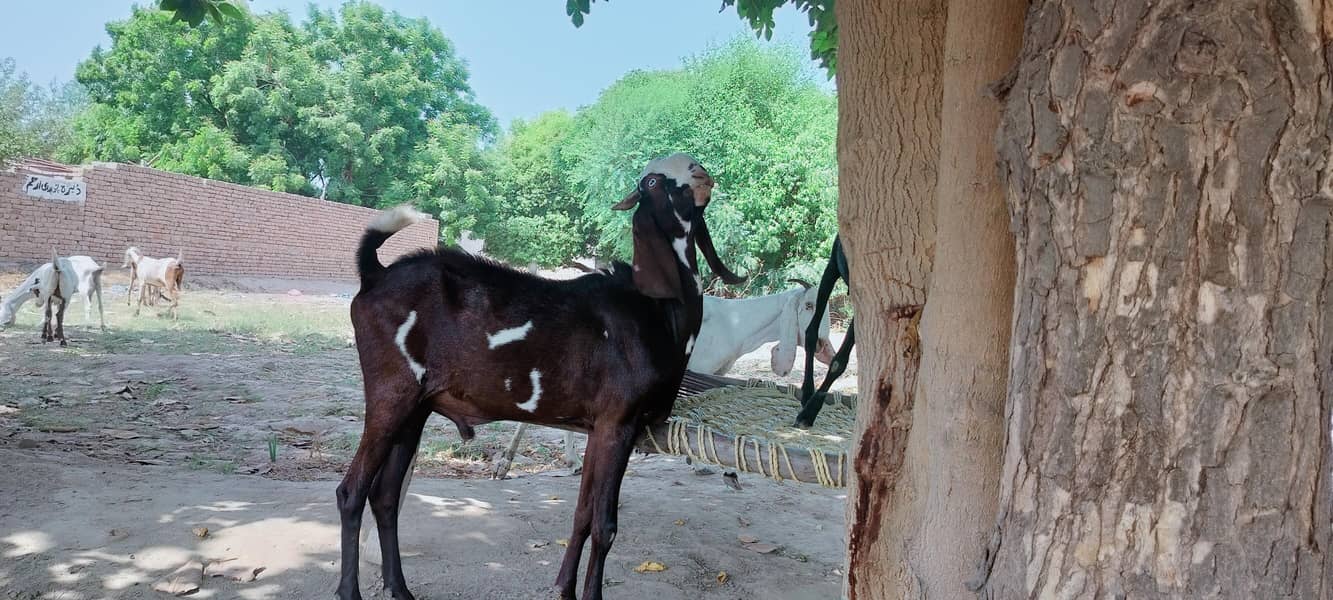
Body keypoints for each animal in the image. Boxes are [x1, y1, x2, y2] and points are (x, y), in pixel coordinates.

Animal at [336, 153, 743, 600]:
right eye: (651, 182)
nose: (700, 173)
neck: (656, 311)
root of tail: (374, 274)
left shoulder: (598, 428)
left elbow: (582, 514)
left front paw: (564, 588)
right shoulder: (619, 423)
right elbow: (605, 525)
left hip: (416, 409)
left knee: (385, 497)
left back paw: (401, 588)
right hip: (390, 393)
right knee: (351, 492)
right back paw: (350, 591)